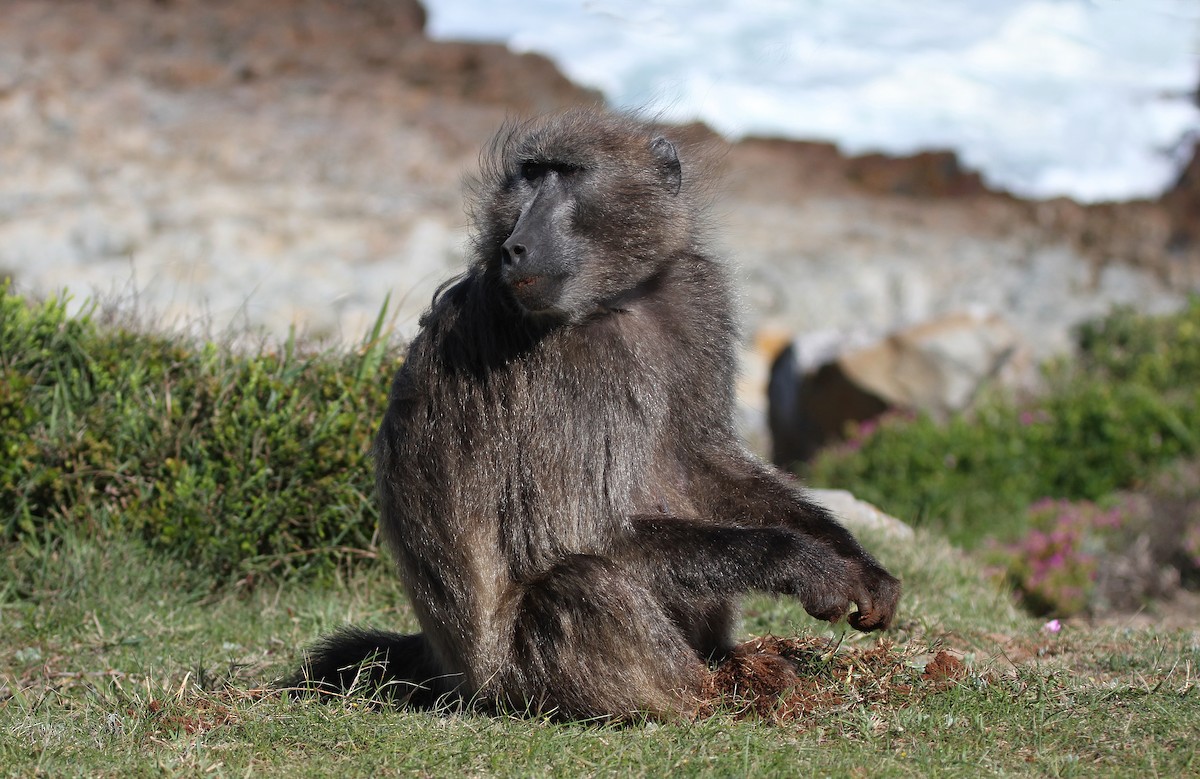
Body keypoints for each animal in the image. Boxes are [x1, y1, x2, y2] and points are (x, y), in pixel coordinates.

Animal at [290, 108, 901, 719]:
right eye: (531, 175)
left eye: (566, 173)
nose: (515, 247)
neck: (622, 300)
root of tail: (454, 676)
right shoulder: (570, 365)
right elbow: (577, 533)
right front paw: (805, 564)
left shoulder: (696, 296)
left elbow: (701, 457)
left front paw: (857, 561)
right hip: (518, 681)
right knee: (585, 581)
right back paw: (719, 692)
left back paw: (735, 662)